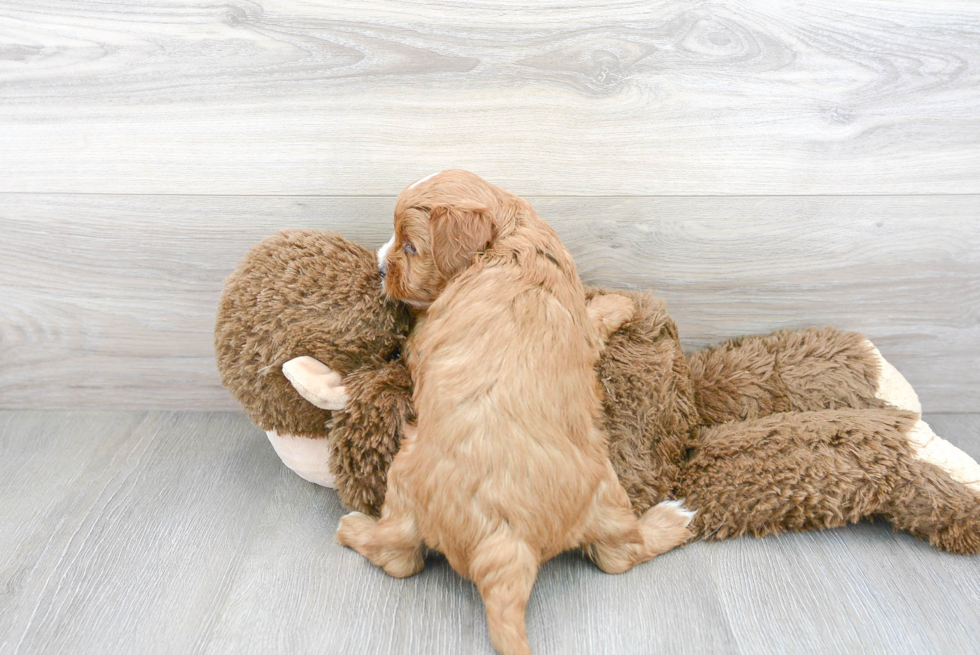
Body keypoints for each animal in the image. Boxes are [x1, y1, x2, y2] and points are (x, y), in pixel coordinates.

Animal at [340, 170, 692, 655]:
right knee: (620, 553)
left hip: (403, 481)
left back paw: (352, 528)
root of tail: (508, 539)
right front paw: (621, 304)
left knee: (397, 555)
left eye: (409, 247)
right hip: (606, 493)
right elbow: (591, 317)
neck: (506, 243)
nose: (378, 267)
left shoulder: (421, 338)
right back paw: (671, 522)